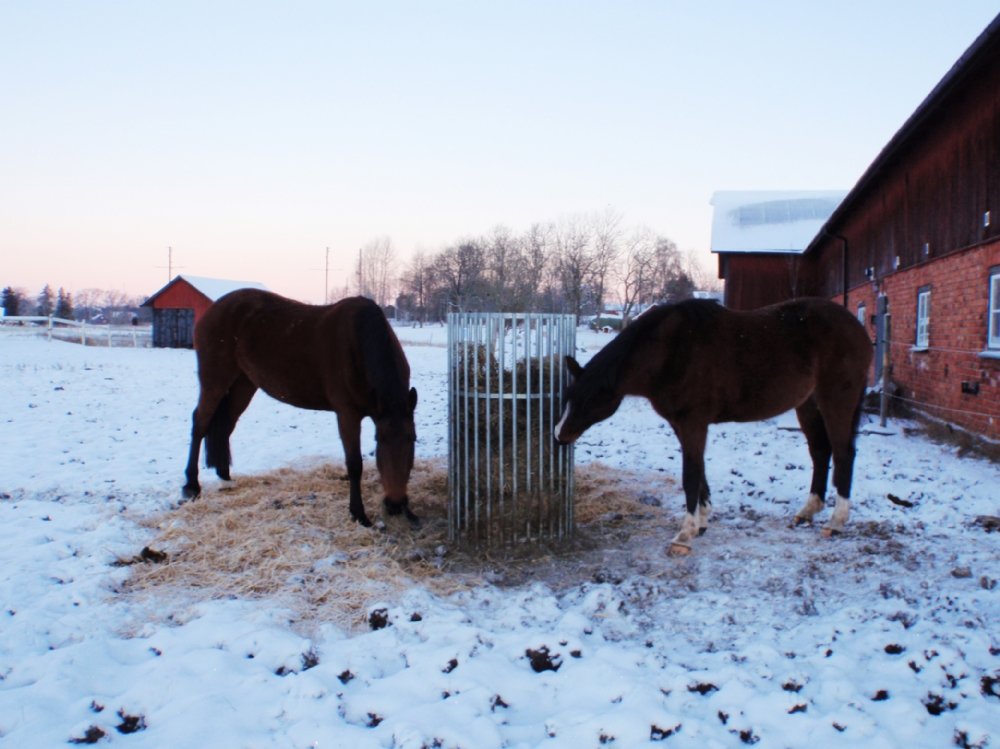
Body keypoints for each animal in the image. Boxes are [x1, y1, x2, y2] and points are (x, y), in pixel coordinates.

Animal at [181, 288, 418, 524]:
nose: (396, 504)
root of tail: (214, 309)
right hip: (215, 381)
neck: (358, 343)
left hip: (243, 383)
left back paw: (225, 476)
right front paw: (358, 513)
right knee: (200, 423)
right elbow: (354, 464)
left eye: (412, 439)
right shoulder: (347, 414)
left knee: (227, 425)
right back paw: (191, 486)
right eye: (380, 439)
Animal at [560, 298, 872, 556]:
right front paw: (702, 522)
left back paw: (835, 522)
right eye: (569, 396)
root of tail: (857, 328)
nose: (560, 435)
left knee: (843, 454)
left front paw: (684, 537)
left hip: (836, 400)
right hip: (807, 404)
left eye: (589, 401)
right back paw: (808, 512)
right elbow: (699, 472)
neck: (671, 351)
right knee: (820, 452)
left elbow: (690, 476)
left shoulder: (693, 423)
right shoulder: (682, 424)